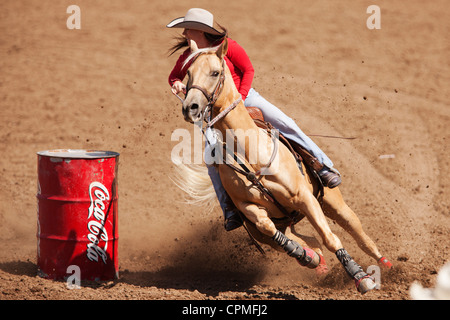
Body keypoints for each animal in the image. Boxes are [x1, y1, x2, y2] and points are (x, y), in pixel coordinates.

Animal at [174, 38, 392, 294]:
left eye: (215, 72)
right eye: (188, 73)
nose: (190, 107)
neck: (252, 154)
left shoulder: (305, 198)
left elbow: (330, 238)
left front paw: (360, 276)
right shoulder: (250, 210)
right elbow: (272, 229)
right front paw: (306, 256)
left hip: (332, 201)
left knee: (358, 233)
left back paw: (385, 266)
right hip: (277, 225)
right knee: (307, 240)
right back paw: (314, 260)